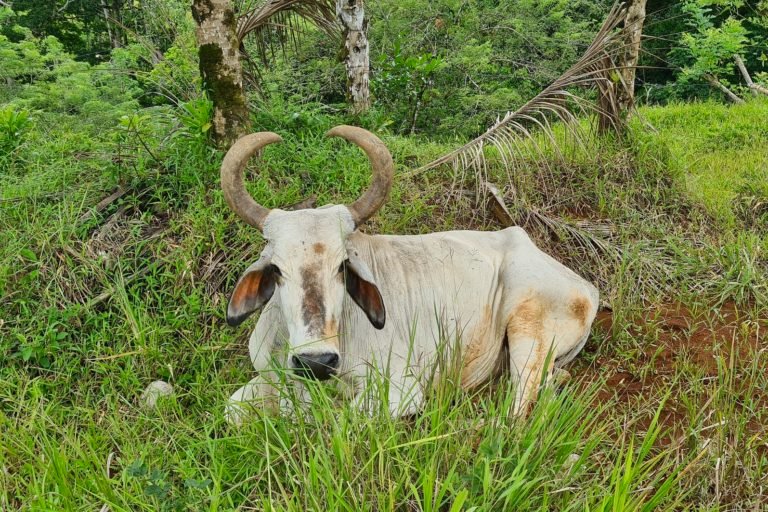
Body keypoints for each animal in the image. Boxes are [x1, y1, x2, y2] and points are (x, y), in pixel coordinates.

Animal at [219, 127, 596, 424]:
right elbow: (232, 409)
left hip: (529, 331)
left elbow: (337, 419)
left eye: (342, 265)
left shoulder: (400, 389)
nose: (317, 362)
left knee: (515, 412)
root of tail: (587, 289)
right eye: (277, 269)